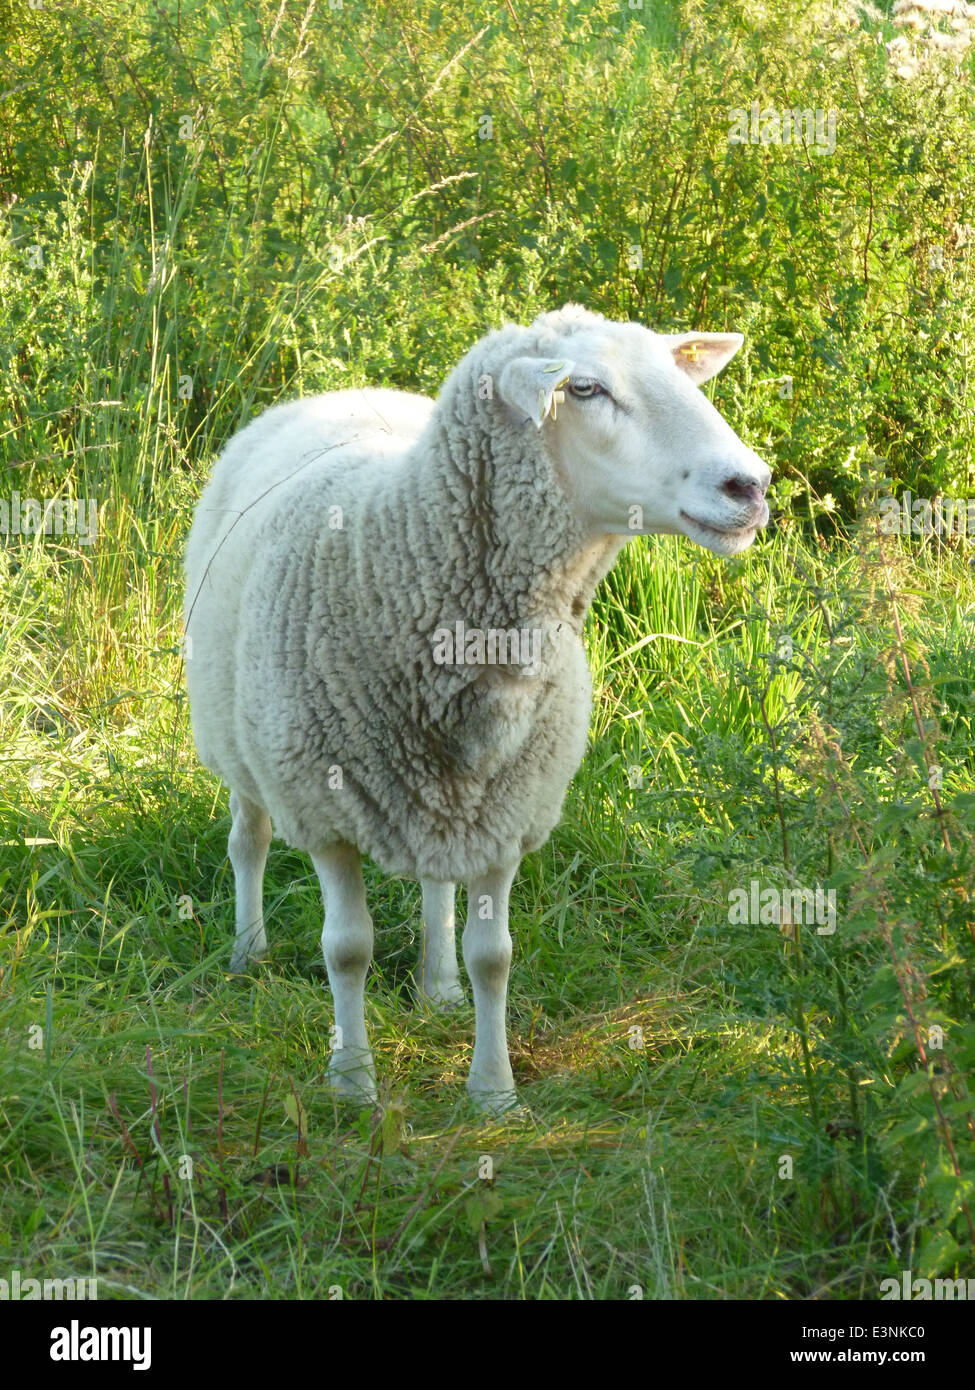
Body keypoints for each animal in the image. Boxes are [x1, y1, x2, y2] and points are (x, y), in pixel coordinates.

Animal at [182, 309, 767, 1112]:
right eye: (584, 389)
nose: (750, 484)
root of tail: (340, 390)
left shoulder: (508, 812)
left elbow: (494, 956)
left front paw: (493, 1090)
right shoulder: (323, 809)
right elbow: (347, 949)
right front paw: (352, 1082)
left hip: (443, 795)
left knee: (435, 881)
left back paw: (437, 988)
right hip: (238, 741)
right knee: (250, 841)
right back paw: (249, 951)